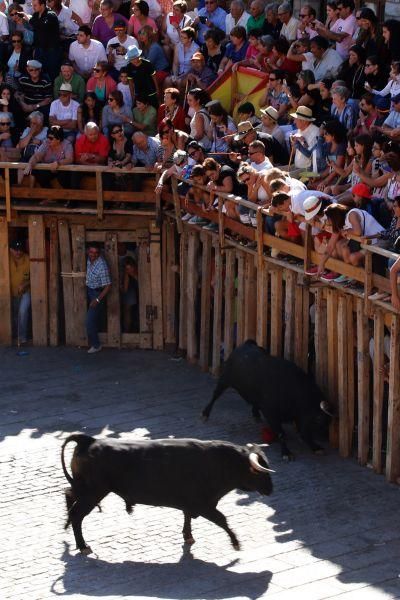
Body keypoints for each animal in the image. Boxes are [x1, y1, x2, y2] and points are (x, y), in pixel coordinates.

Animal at [61, 434, 276, 556]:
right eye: (259, 472)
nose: (270, 489)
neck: (222, 462)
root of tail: (89, 440)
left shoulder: (191, 503)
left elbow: (187, 516)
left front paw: (188, 536)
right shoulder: (203, 504)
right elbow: (222, 519)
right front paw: (236, 543)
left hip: (85, 490)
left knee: (68, 494)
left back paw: (68, 529)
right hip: (93, 492)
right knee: (77, 515)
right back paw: (83, 546)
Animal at [202, 342, 332, 460]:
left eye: (328, 420)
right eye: (319, 419)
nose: (326, 436)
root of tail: (247, 343)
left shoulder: (298, 416)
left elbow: (304, 433)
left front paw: (316, 447)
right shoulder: (272, 414)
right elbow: (282, 433)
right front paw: (286, 453)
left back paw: (256, 415)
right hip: (224, 380)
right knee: (215, 395)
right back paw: (205, 414)